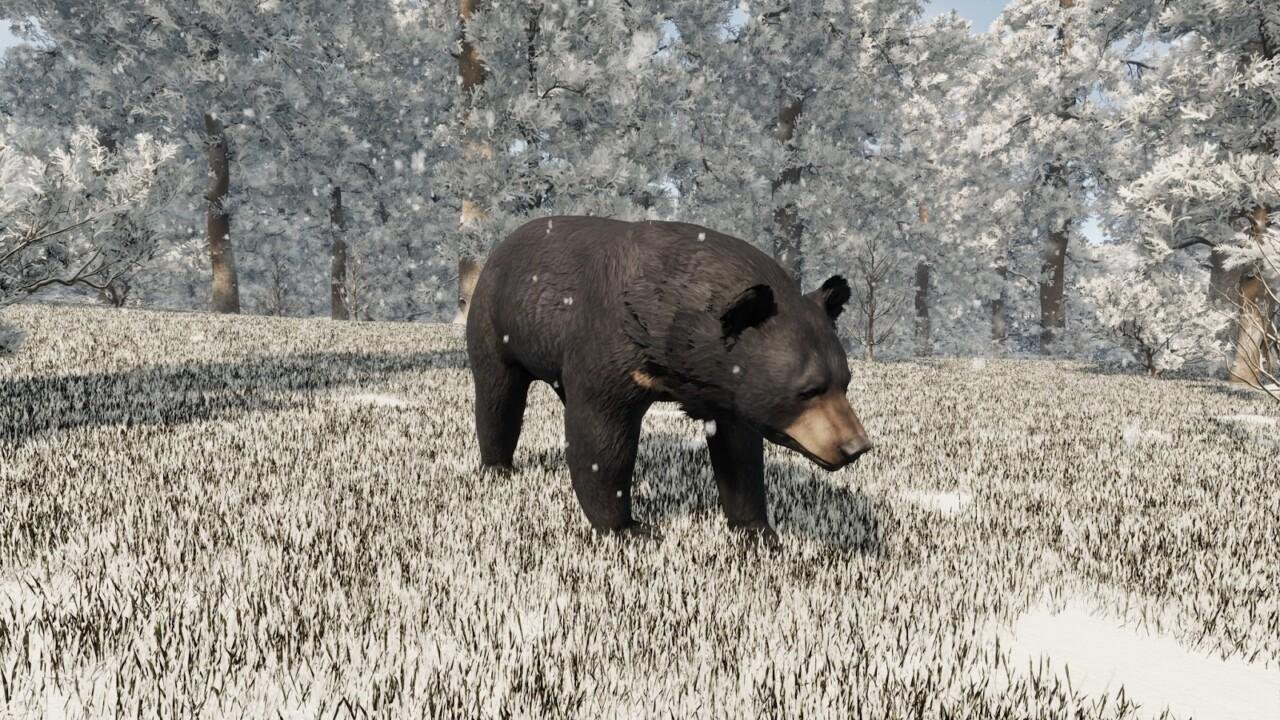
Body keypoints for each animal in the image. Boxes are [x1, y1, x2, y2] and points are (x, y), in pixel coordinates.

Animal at [465, 215, 872, 541]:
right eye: (808, 390)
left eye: (845, 382)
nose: (856, 446)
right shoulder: (612, 346)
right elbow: (601, 436)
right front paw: (628, 528)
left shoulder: (726, 390)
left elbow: (739, 452)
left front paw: (756, 530)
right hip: (498, 321)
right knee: (498, 394)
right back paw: (498, 467)